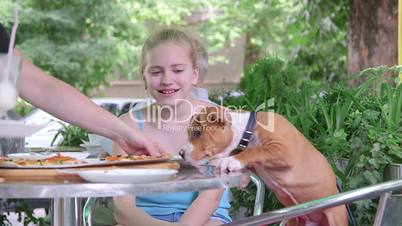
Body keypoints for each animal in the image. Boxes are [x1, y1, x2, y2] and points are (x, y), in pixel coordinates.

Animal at [181, 107, 348, 225]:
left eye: (197, 133)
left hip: (336, 218)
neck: (248, 130)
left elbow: (256, 151)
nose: (181, 153)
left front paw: (231, 161)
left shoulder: (284, 150)